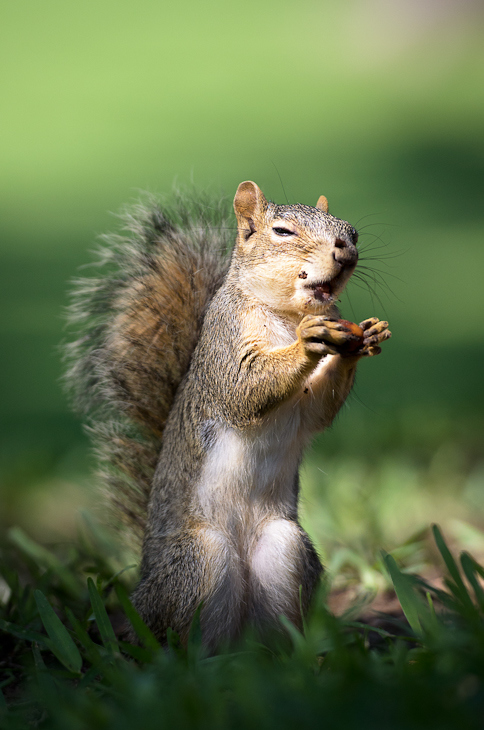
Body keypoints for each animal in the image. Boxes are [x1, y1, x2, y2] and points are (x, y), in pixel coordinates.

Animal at [64, 179, 392, 644]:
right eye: (282, 231)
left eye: (353, 232)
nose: (346, 251)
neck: (286, 315)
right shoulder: (225, 342)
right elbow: (244, 390)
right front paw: (308, 343)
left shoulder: (308, 404)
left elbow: (317, 409)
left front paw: (364, 339)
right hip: (198, 557)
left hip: (284, 548)